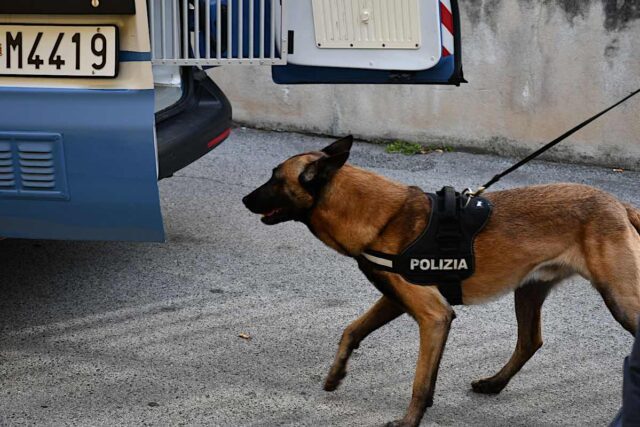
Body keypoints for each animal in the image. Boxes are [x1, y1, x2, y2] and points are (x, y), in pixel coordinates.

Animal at [241, 137, 640, 427]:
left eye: (275, 178)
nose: (244, 199)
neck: (381, 216)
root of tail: (619, 204)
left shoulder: (433, 317)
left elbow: (420, 381)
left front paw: (408, 422)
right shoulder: (395, 300)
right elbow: (351, 330)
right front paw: (335, 375)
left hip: (621, 299)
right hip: (528, 291)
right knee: (530, 341)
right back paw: (494, 384)